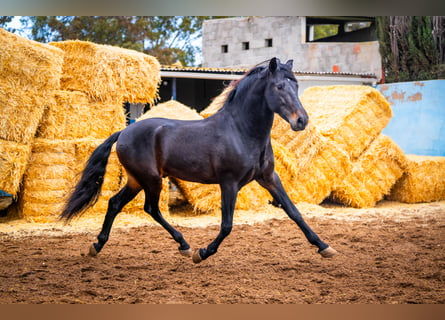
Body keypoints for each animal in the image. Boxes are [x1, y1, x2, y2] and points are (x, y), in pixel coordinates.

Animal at [59, 57, 336, 262]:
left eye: (296, 85)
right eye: (279, 86)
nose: (301, 121)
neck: (242, 131)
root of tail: (124, 131)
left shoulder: (268, 178)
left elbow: (294, 212)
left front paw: (324, 246)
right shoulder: (229, 183)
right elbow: (227, 225)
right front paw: (203, 253)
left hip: (136, 180)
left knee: (116, 203)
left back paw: (97, 245)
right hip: (151, 180)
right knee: (151, 209)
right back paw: (185, 246)